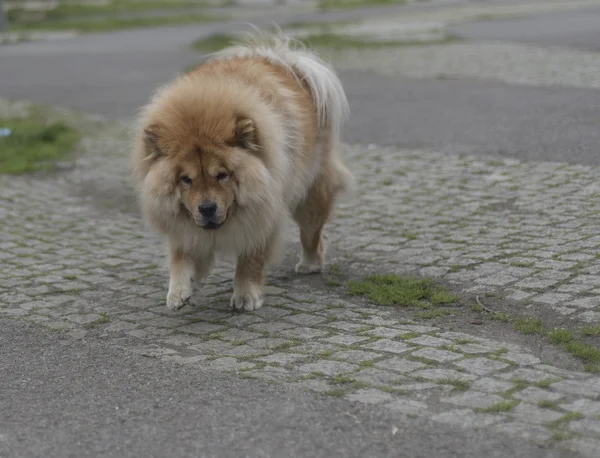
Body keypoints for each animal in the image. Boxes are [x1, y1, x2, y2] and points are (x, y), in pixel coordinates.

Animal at [131, 31, 354, 312]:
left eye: (222, 175)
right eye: (185, 180)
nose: (206, 208)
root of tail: (286, 62)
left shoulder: (261, 215)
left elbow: (250, 261)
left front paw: (246, 296)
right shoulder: (181, 223)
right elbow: (181, 255)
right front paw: (180, 291)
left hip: (311, 194)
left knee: (311, 233)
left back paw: (309, 264)